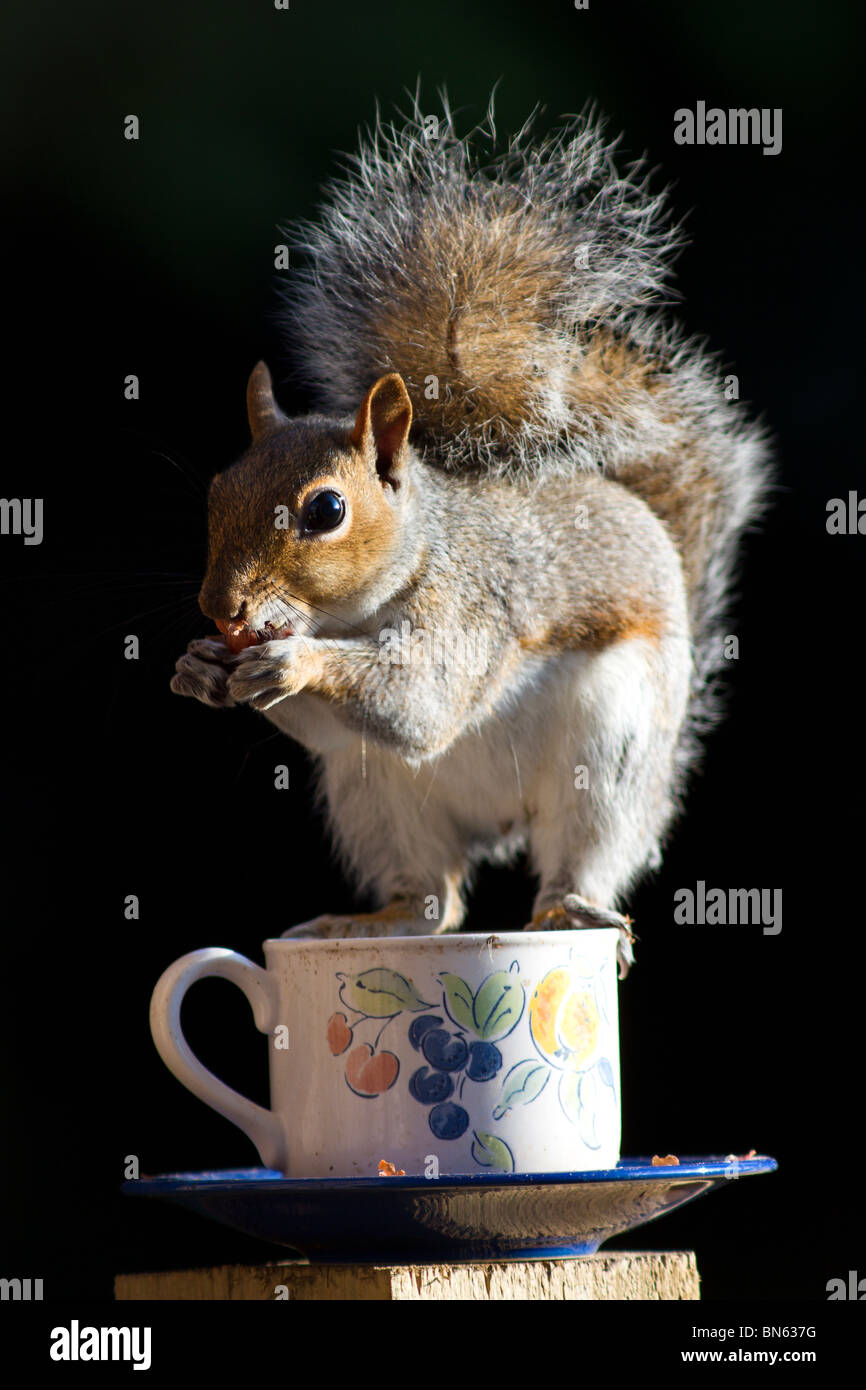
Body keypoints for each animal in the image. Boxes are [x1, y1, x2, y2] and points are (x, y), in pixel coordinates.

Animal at [170, 97, 772, 973]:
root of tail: (500, 823)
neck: (360, 609)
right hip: (372, 794)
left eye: (326, 511)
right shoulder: (343, 732)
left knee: (577, 856)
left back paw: (571, 910)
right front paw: (199, 667)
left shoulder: (473, 607)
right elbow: (348, 720)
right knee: (435, 902)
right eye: (218, 491)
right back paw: (372, 925)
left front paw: (295, 660)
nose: (223, 610)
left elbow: (422, 698)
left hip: (612, 755)